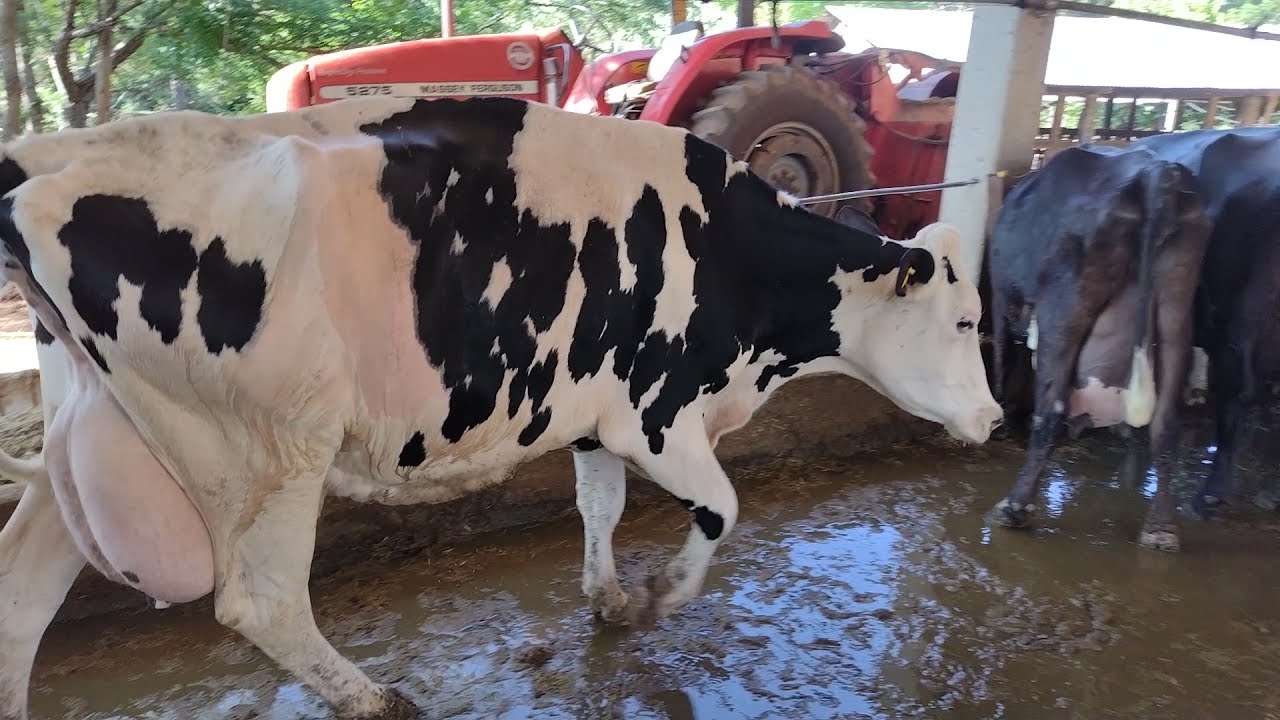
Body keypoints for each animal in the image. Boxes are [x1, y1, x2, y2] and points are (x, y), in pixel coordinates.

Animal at [0, 95, 1002, 719]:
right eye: (965, 320)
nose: (995, 420)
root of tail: (47, 159)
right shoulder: (657, 411)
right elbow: (721, 507)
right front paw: (660, 598)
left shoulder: (599, 413)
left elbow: (600, 505)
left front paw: (608, 597)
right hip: (268, 445)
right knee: (261, 602)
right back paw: (375, 700)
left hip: (92, 445)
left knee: (20, 595)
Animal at [986, 143, 1212, 552]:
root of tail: (1156, 173)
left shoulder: (1000, 292)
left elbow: (1001, 357)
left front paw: (1000, 416)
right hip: (1176, 297)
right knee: (1166, 420)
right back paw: (1161, 529)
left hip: (1066, 305)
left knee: (1052, 410)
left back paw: (1014, 508)